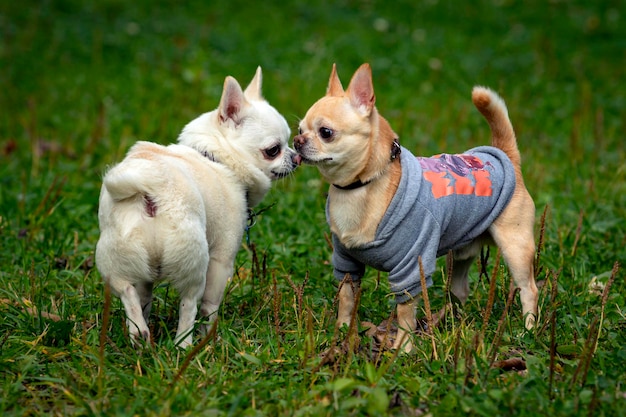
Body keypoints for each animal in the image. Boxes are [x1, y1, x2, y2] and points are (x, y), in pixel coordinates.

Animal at [96, 69, 296, 348]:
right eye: (273, 150)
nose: (296, 156)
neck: (218, 159)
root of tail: (151, 187)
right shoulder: (222, 258)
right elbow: (210, 305)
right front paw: (209, 334)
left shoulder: (145, 273)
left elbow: (144, 295)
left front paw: (145, 321)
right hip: (195, 259)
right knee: (189, 303)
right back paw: (185, 344)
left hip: (114, 255)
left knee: (126, 290)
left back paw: (139, 332)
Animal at [292, 63, 536, 350]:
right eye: (299, 130)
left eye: (326, 133)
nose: (297, 141)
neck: (357, 188)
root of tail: (505, 156)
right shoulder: (346, 264)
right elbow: (346, 300)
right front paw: (342, 334)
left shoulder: (410, 268)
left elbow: (405, 314)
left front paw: (403, 348)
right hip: (462, 252)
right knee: (460, 289)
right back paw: (449, 323)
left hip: (515, 247)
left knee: (529, 289)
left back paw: (529, 330)